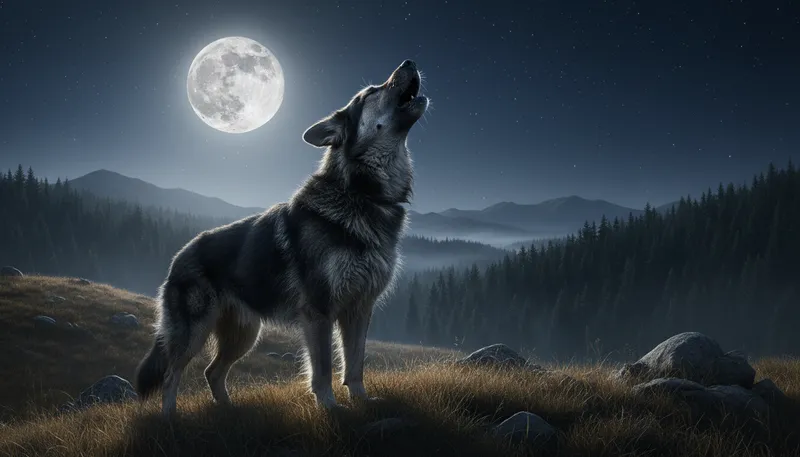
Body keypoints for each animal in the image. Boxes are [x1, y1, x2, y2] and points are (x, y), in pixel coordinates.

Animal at [135, 60, 428, 416]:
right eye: (372, 91)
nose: (409, 62)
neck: (363, 193)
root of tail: (177, 258)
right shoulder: (319, 312)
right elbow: (324, 369)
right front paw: (331, 409)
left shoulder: (359, 309)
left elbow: (355, 364)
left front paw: (362, 402)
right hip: (195, 334)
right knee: (171, 374)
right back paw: (169, 417)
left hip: (244, 336)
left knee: (211, 372)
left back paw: (230, 411)